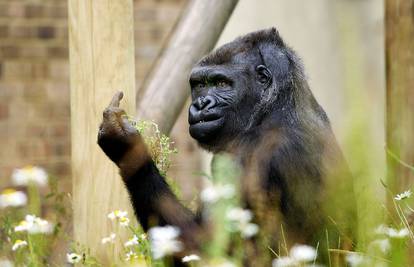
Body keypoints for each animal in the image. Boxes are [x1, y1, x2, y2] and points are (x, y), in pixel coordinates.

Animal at [98, 27, 356, 266]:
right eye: (199, 85)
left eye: (222, 83)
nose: (201, 104)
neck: (274, 106)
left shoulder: (244, 159)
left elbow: (206, 248)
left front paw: (125, 146)